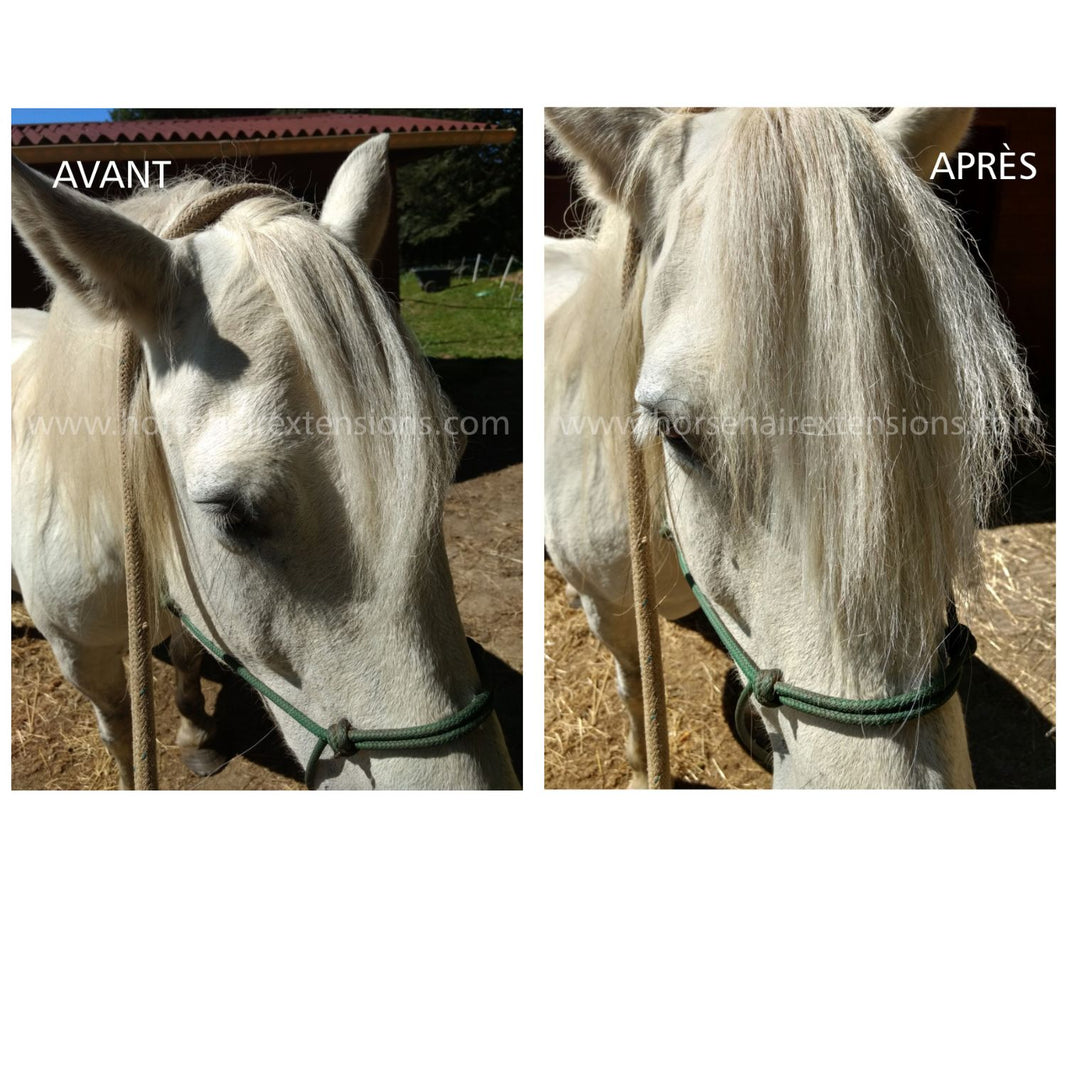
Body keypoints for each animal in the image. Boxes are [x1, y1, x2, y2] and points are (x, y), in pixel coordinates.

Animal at [12, 135, 519, 789]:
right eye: (230, 513)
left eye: (449, 460)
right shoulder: (80, 657)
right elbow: (119, 732)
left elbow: (187, 651)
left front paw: (195, 731)